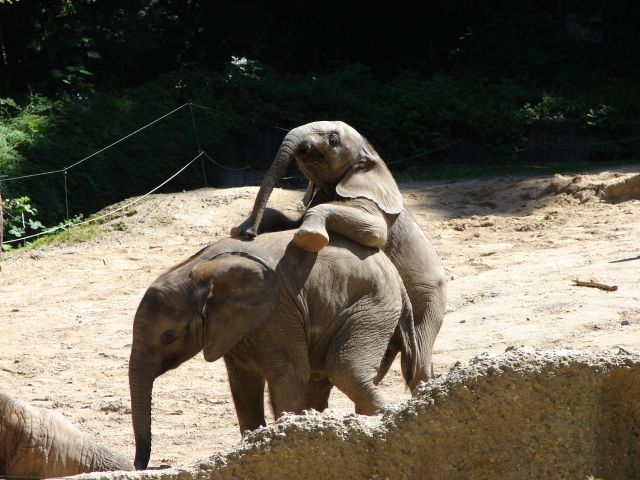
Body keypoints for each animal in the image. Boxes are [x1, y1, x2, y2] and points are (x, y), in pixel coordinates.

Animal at [129, 230, 417, 470]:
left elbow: (288, 375)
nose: (139, 466)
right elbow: (243, 382)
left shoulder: (278, 311)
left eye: (168, 336)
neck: (196, 271)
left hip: (373, 307)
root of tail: (397, 278)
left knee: (344, 369)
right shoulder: (234, 325)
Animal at [231, 120, 446, 384]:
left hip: (430, 301)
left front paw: (309, 237)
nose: (250, 234)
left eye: (333, 140)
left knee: (417, 363)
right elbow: (288, 220)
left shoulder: (371, 203)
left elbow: (375, 231)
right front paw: (239, 230)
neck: (370, 153)